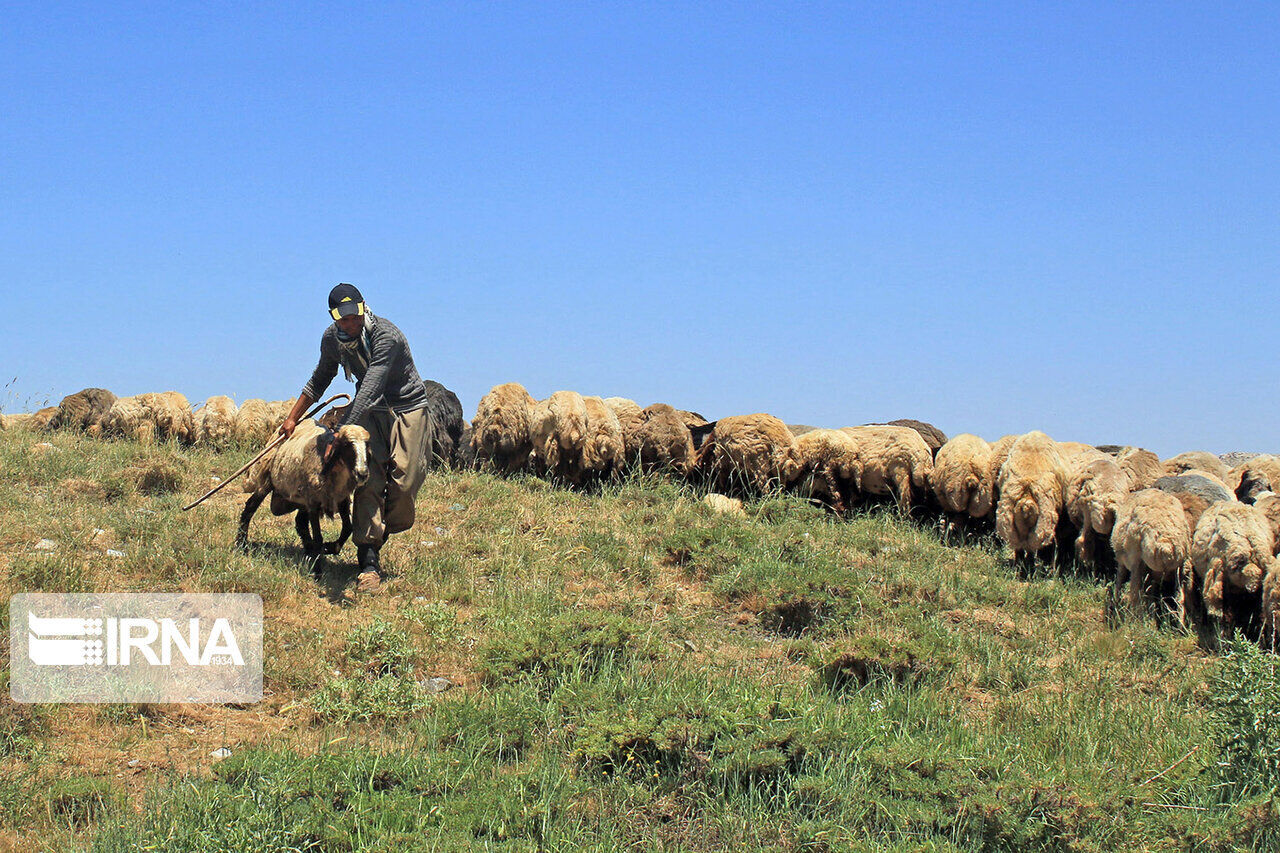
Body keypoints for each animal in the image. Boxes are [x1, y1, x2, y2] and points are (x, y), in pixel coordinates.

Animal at [236, 417, 371, 568]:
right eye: (347, 445)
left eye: (367, 445)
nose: (362, 474)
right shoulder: (314, 502)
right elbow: (318, 537)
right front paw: (317, 569)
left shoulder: (341, 498)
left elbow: (348, 528)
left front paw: (330, 548)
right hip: (267, 481)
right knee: (250, 507)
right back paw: (241, 544)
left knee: (300, 522)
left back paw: (309, 550)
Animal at [1111, 484, 1187, 617]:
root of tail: (1165, 543)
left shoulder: (1122, 561)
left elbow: (1120, 580)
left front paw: (1116, 602)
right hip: (1179, 569)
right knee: (1180, 600)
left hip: (1137, 563)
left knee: (1136, 595)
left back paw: (1136, 618)